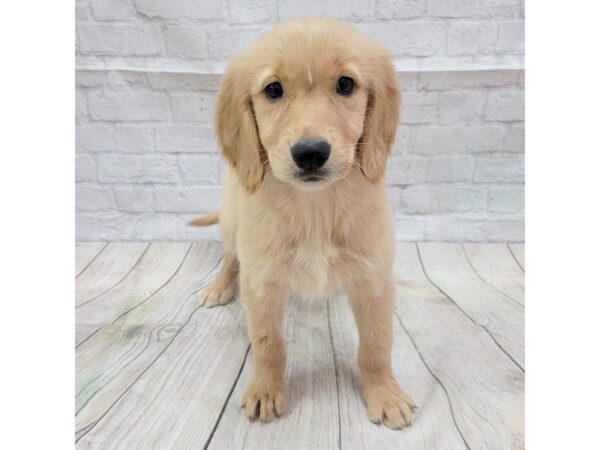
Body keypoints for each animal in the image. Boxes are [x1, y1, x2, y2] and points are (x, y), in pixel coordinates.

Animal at [190, 17, 416, 429]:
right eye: (273, 90)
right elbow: (268, 343)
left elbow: (376, 345)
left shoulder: (374, 280)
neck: (315, 208)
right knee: (231, 256)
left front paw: (386, 395)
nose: (310, 153)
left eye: (346, 84)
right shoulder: (261, 281)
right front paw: (265, 391)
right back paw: (219, 287)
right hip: (231, 220)